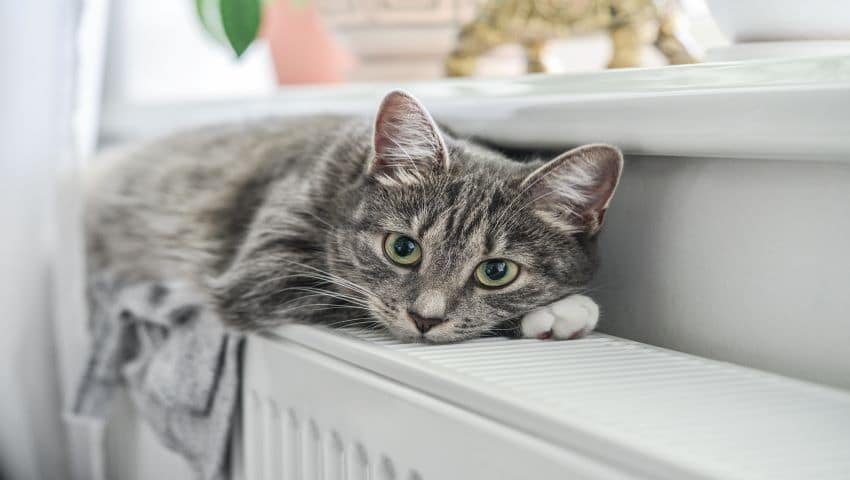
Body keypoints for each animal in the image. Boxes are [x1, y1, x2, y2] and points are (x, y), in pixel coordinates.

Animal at [86, 90, 620, 344]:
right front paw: (563, 310)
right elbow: (354, 298)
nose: (425, 320)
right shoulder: (267, 270)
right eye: (402, 248)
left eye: (496, 271)